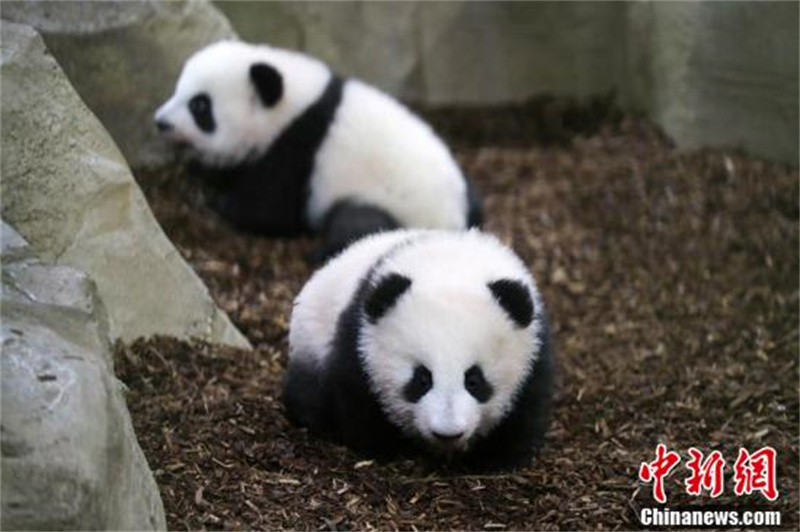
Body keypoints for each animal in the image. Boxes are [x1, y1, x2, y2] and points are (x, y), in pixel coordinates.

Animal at [154, 40, 482, 259]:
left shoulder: (297, 148)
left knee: (358, 224)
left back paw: (323, 252)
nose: (161, 122)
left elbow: (268, 211)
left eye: (200, 106)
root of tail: (451, 224)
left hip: (391, 203)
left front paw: (215, 200)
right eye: (177, 90)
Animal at [283, 229, 553, 470]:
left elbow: (524, 407)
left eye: (474, 380)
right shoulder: (359, 339)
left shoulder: (534, 349)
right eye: (422, 378)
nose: (447, 433)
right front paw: (389, 448)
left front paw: (493, 458)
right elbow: (357, 397)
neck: (451, 264)